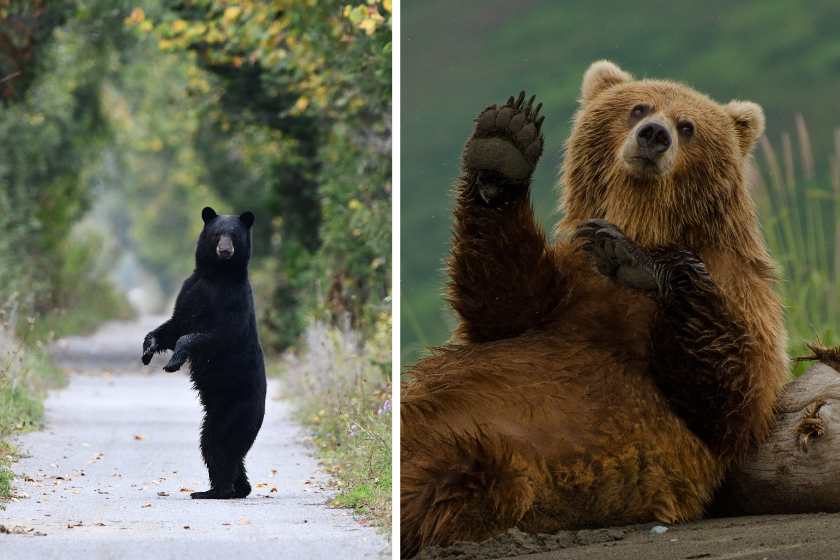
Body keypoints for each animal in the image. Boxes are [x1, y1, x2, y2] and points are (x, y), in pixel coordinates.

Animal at [141, 205, 266, 498]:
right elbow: (174, 326)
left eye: (234, 234)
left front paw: (173, 362)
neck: (216, 276)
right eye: (217, 233)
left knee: (217, 445)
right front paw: (148, 349)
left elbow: (209, 335)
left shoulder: (232, 302)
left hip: (234, 411)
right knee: (229, 453)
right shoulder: (190, 290)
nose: (225, 250)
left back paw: (215, 490)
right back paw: (240, 487)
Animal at [400, 59, 788, 556]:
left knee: (455, 477)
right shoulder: (570, 282)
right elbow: (503, 302)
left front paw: (637, 260)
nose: (654, 134)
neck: (645, 217)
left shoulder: (743, 290)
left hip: (491, 458)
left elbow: (734, 397)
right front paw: (504, 145)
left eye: (688, 126)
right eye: (638, 107)